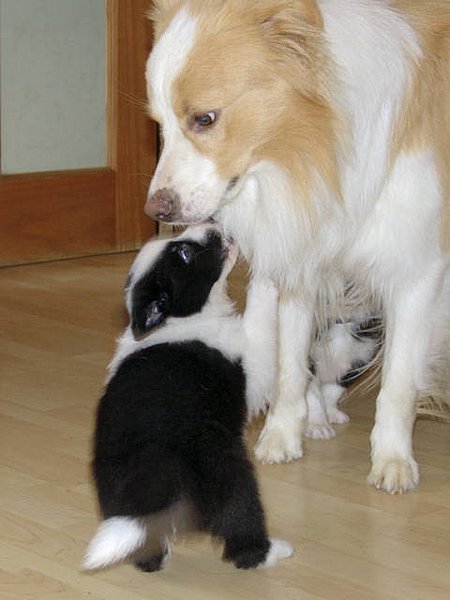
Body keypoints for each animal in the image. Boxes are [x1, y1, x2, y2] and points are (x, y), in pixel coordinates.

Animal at [83, 223, 294, 572]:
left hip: (111, 481)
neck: (181, 319)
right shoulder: (255, 362)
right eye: (184, 254)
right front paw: (265, 269)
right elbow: (260, 310)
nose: (214, 226)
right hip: (227, 473)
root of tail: (156, 463)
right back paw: (271, 552)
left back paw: (156, 557)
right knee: (241, 529)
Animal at [144, 0, 450, 494]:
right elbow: (291, 364)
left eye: (205, 118)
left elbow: (399, 382)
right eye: (159, 125)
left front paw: (392, 460)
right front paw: (282, 436)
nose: (156, 209)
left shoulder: (416, 269)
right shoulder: (300, 258)